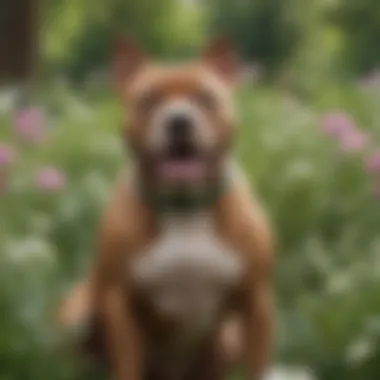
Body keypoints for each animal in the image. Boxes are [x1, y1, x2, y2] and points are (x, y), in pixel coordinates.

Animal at [58, 36, 274, 380]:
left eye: (206, 98)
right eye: (148, 99)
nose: (179, 121)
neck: (184, 207)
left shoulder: (256, 302)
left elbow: (259, 366)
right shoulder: (121, 305)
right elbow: (127, 367)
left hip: (229, 337)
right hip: (75, 313)